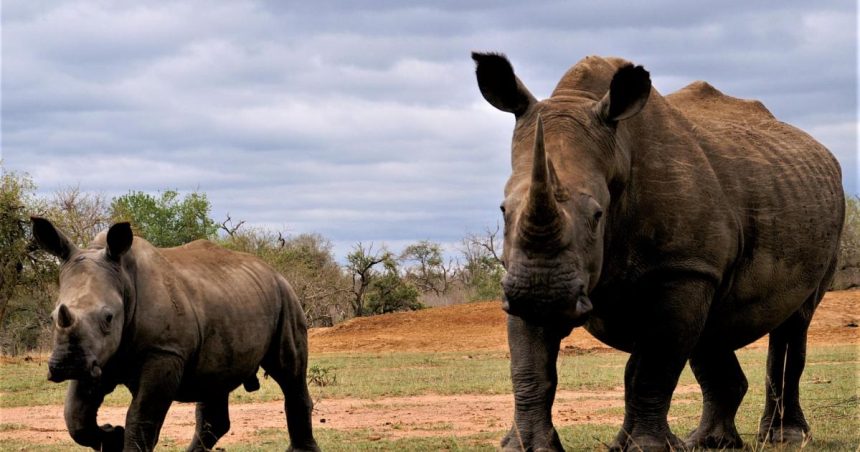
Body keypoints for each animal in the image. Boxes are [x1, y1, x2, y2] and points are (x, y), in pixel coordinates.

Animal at [31, 217, 320, 452]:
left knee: (289, 372)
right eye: (53, 317)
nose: (66, 366)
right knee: (214, 383)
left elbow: (141, 417)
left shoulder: (164, 352)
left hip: (285, 297)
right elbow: (75, 416)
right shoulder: (96, 355)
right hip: (229, 300)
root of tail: (272, 270)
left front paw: (119, 435)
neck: (124, 277)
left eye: (109, 318)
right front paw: (112, 437)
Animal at [472, 52, 844, 451]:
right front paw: (526, 447)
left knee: (795, 321)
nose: (543, 295)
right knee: (712, 329)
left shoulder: (682, 268)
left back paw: (785, 438)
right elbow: (531, 368)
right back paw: (710, 442)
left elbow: (652, 366)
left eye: (597, 216)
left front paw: (646, 447)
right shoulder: (524, 273)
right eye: (504, 210)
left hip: (821, 218)